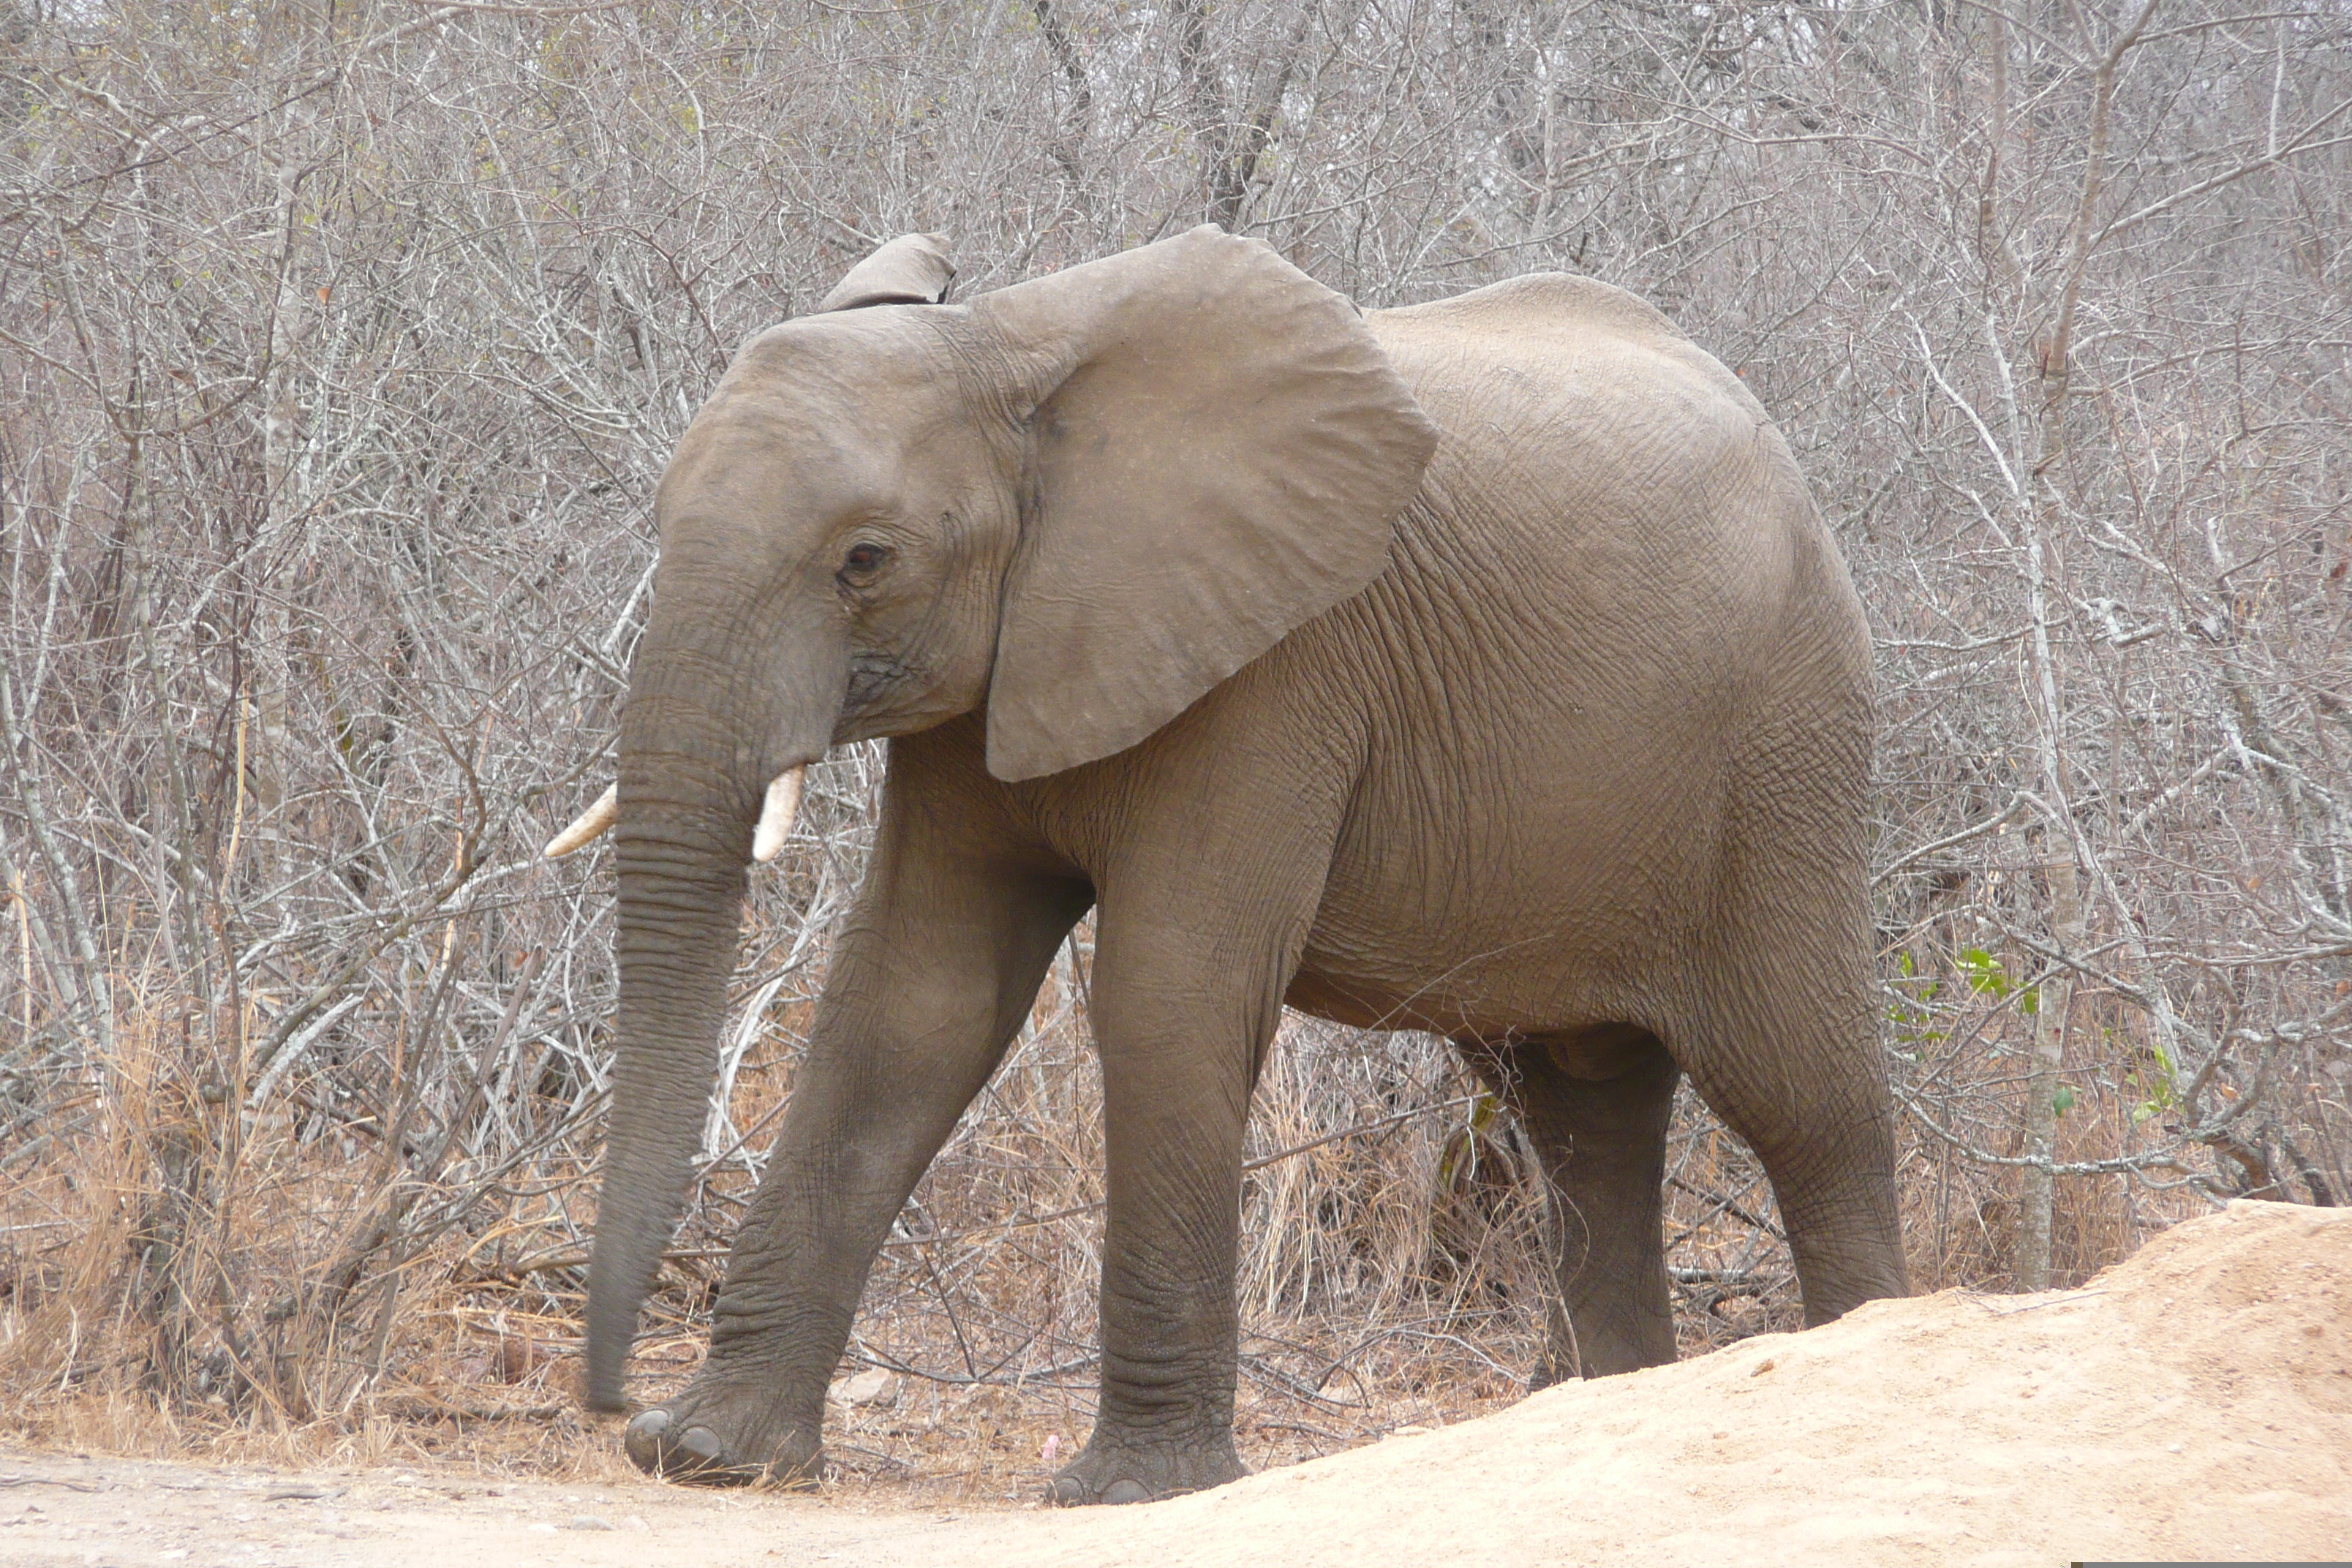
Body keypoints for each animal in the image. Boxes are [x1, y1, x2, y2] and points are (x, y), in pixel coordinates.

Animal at [550, 223, 1910, 1504]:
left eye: (865, 559)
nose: (610, 1405)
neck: (1011, 350)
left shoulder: (1276, 668)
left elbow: (1167, 998)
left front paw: (1126, 1491)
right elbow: (910, 1004)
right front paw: (713, 1456)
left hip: (1783, 745)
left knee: (1800, 1088)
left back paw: (1856, 1344)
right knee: (1576, 1104)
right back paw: (1580, 1406)